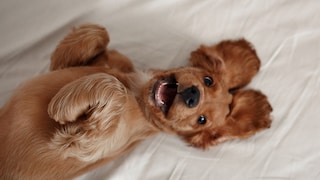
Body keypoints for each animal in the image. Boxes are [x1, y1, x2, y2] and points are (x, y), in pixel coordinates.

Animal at [0, 24, 272, 179]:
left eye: (201, 120)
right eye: (208, 80)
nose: (193, 95)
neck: (139, 92)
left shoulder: (82, 145)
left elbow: (113, 89)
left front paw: (64, 105)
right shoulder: (74, 64)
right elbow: (98, 33)